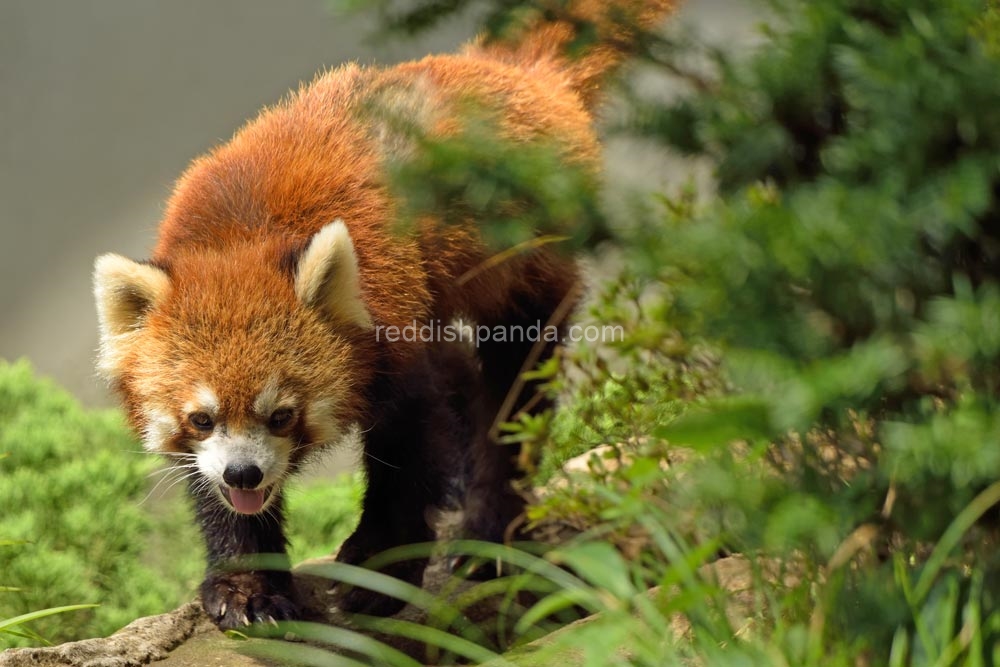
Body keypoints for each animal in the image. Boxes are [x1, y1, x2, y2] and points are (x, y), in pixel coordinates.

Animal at [94, 0, 676, 632]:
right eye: (201, 418)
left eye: (282, 415)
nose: (244, 473)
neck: (239, 235)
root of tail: (518, 77)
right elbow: (213, 494)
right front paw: (246, 584)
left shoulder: (390, 312)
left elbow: (409, 442)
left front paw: (379, 567)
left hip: (521, 256)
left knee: (513, 384)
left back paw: (489, 527)